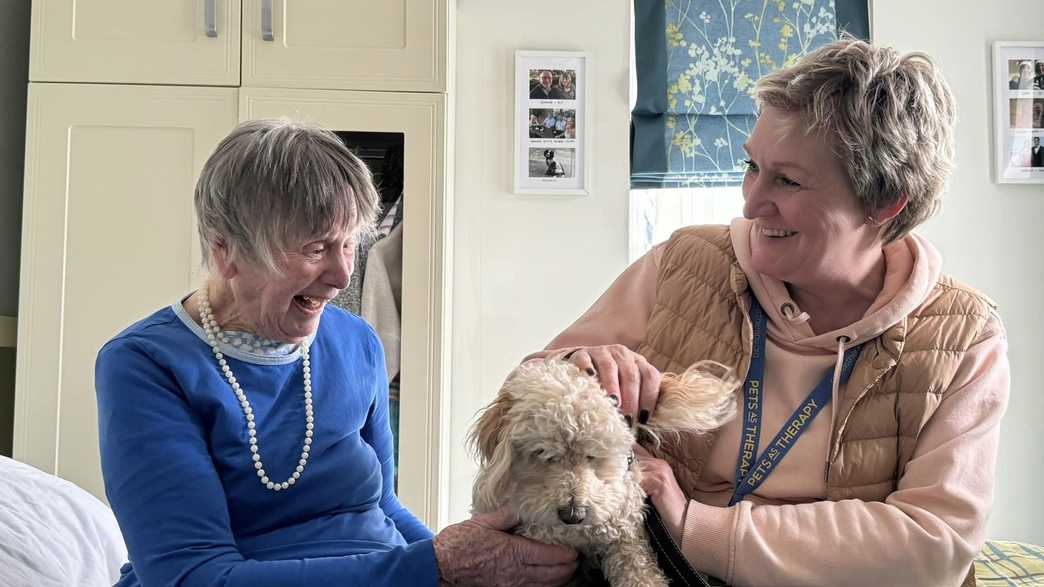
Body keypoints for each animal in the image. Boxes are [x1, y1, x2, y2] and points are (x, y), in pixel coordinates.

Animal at [469, 357, 739, 584]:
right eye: (544, 453)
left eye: (593, 454)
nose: (573, 515)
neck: (575, 534)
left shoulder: (626, 539)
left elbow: (641, 574)